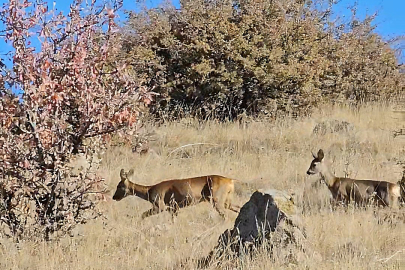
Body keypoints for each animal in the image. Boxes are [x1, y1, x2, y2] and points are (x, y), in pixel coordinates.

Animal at [112, 169, 240, 219]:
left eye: (119, 186)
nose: (114, 197)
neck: (149, 190)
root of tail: (231, 181)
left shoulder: (160, 205)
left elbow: (143, 215)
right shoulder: (173, 208)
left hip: (217, 199)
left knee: (225, 215)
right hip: (227, 200)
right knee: (237, 207)